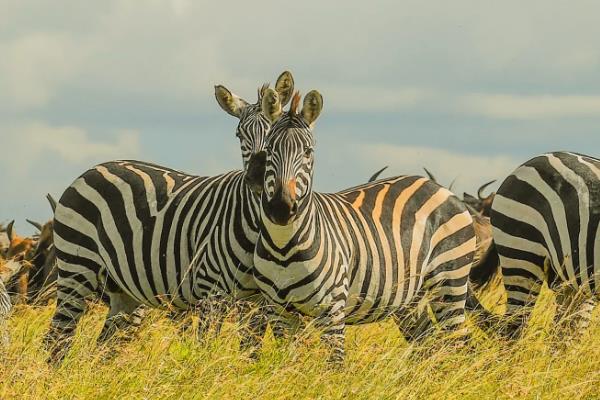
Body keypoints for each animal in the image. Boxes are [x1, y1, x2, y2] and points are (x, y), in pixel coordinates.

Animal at [42, 70, 296, 364]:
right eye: (238, 134)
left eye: (276, 133)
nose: (255, 179)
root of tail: (93, 168)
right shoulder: (211, 289)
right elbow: (206, 348)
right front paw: (205, 372)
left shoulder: (259, 301)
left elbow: (251, 351)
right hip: (77, 267)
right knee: (57, 339)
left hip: (124, 290)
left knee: (105, 347)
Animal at [253, 90, 478, 362]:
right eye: (269, 149)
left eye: (308, 152)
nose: (281, 208)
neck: (284, 246)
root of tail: (440, 188)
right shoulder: (278, 312)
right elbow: (288, 364)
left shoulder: (332, 308)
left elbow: (335, 363)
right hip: (412, 298)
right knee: (426, 343)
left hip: (450, 281)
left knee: (460, 344)